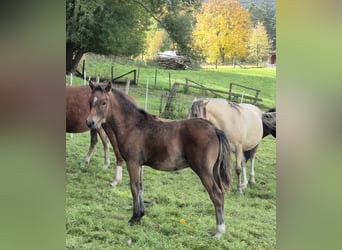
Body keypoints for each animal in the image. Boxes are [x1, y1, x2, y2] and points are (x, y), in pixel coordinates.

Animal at [87, 81, 234, 237]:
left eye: (103, 102)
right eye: (90, 101)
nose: (90, 122)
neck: (133, 125)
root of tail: (215, 129)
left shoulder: (133, 162)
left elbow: (134, 187)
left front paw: (134, 218)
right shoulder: (140, 164)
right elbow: (140, 187)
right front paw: (140, 215)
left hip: (203, 170)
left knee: (216, 194)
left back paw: (219, 231)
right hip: (214, 170)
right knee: (221, 193)